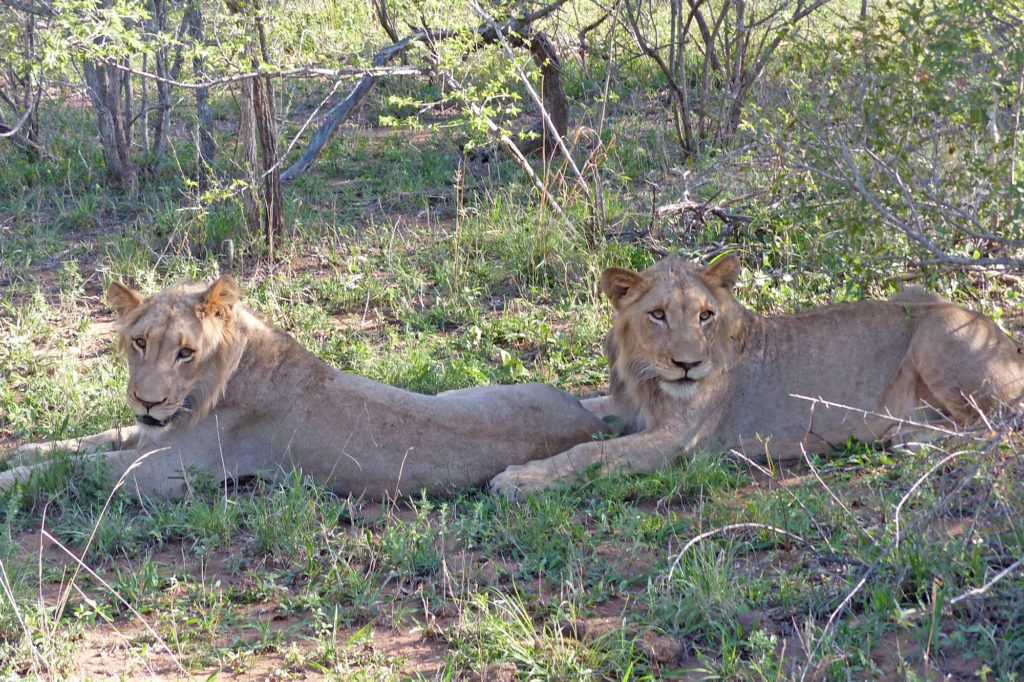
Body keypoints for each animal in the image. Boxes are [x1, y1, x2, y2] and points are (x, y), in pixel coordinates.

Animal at [1, 276, 609, 498]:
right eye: (139, 343)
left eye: (185, 351)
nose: (147, 400)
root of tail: (585, 420)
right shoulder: (154, 434)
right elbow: (81, 444)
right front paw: (25, 449)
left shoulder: (168, 471)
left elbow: (75, 468)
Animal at [490, 254, 1024, 497]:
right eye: (658, 315)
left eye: (705, 315)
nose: (688, 364)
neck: (647, 376)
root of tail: (1010, 344)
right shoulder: (630, 408)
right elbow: (586, 412)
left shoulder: (679, 440)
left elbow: (591, 453)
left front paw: (519, 476)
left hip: (938, 330)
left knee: (994, 425)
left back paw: (912, 437)